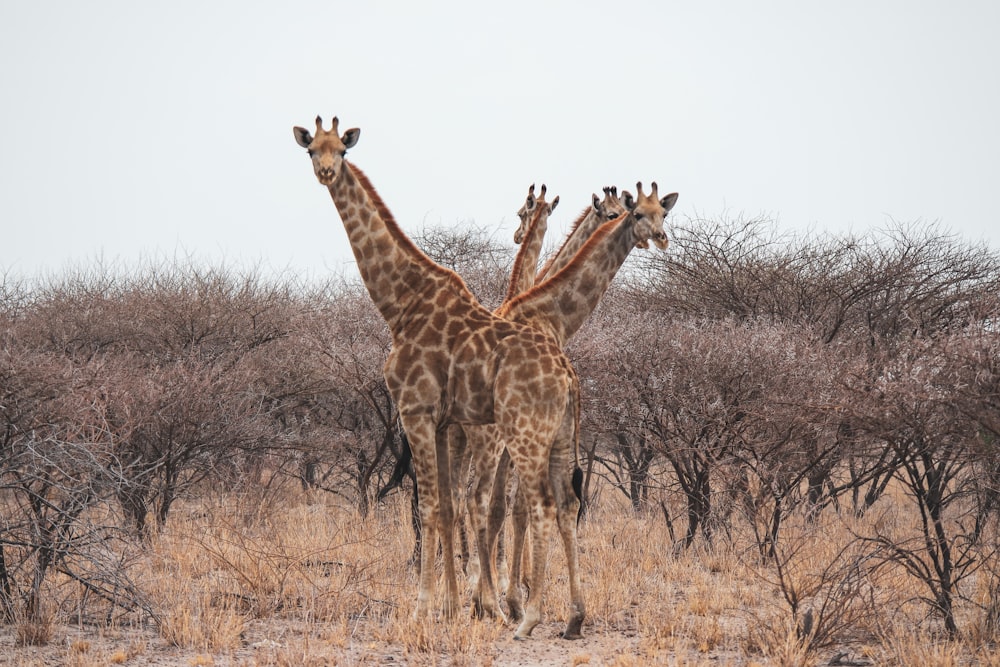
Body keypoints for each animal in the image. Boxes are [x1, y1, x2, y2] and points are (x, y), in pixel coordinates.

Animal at [290, 117, 584, 640]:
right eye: (311, 150)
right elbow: (447, 507)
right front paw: (456, 606)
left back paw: (522, 613)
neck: (400, 303)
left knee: (528, 505)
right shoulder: (442, 422)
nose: (325, 171)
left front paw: (425, 608)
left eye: (341, 150)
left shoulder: (418, 411)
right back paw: (557, 613)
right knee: (549, 505)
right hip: (544, 437)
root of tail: (566, 374)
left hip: (522, 434)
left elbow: (429, 507)